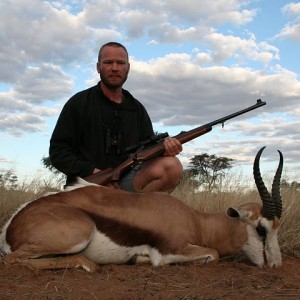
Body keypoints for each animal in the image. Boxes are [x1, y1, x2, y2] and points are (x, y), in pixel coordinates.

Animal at [0, 146, 282, 270]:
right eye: (261, 229)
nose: (276, 265)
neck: (197, 220)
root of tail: (11, 226)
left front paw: (137, 258)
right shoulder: (170, 251)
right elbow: (212, 253)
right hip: (78, 235)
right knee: (13, 260)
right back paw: (88, 265)